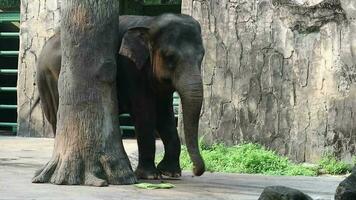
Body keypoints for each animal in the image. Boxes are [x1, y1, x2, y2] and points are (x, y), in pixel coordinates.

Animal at [36, 14, 206, 180]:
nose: (195, 171)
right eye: (169, 56)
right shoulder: (131, 68)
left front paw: (170, 173)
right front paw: (150, 176)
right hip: (50, 80)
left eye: (202, 55)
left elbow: (166, 116)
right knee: (56, 118)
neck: (150, 21)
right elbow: (144, 113)